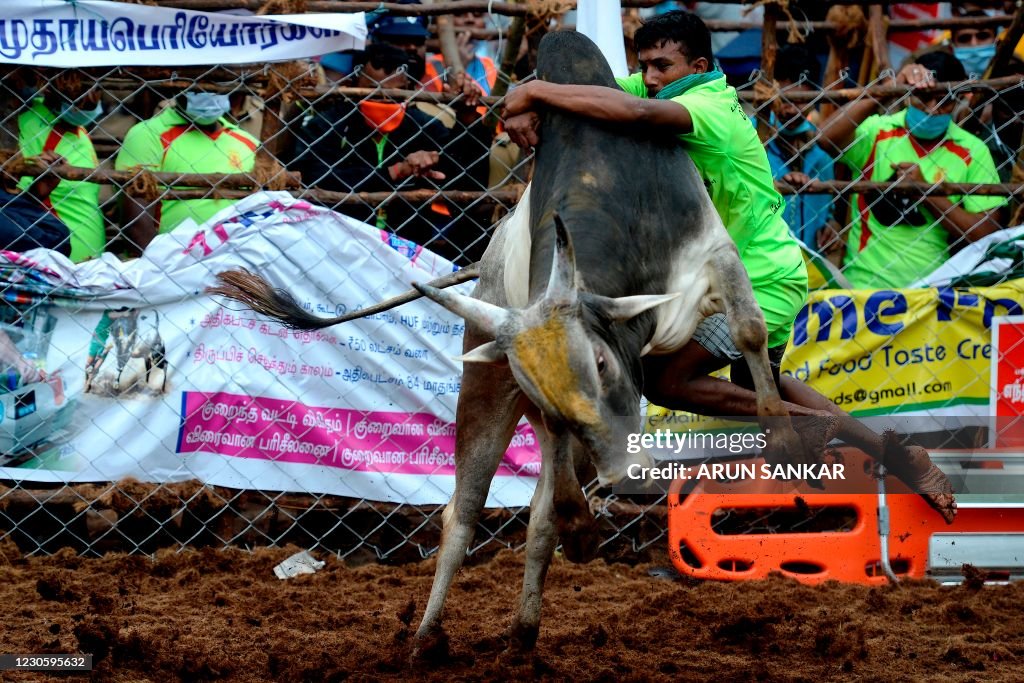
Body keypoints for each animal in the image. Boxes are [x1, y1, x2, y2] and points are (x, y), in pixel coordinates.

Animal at [216, 31, 802, 655]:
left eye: (602, 362)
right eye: (549, 386)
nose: (626, 473)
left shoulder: (714, 255)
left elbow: (750, 330)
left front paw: (784, 446)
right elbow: (545, 485)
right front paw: (581, 527)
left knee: (538, 515)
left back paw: (523, 628)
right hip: (485, 380)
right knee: (469, 510)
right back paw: (430, 636)